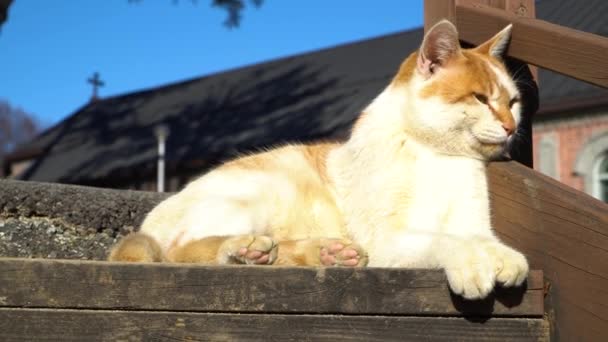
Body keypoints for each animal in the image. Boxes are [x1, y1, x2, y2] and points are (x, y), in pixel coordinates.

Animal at [110, 20, 528, 300]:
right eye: (480, 98)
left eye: (513, 102)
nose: (510, 127)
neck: (440, 156)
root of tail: (150, 220)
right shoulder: (387, 239)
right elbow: (446, 240)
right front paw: (472, 264)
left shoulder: (472, 224)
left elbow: (481, 239)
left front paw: (504, 258)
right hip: (255, 195)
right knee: (180, 251)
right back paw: (244, 249)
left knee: (282, 252)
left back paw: (328, 253)